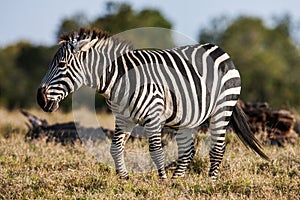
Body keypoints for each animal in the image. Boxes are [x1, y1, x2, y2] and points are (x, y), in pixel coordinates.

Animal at [36, 28, 268, 181]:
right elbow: (115, 148)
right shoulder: (123, 118)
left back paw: (209, 183)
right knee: (188, 151)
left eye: (62, 64)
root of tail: (218, 49)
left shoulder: (153, 115)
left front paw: (162, 181)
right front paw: (124, 178)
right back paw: (177, 182)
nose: (40, 99)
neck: (121, 80)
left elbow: (155, 150)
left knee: (217, 148)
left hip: (222, 107)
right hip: (187, 116)